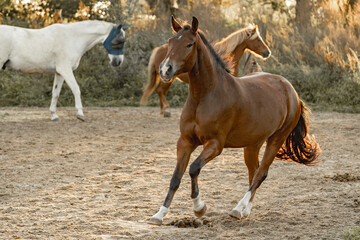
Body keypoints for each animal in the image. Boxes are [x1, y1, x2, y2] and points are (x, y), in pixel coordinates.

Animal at [0, 20, 128, 121]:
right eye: (119, 41)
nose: (118, 62)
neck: (72, 39)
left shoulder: (59, 72)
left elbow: (56, 93)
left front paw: (54, 116)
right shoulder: (65, 70)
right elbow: (76, 89)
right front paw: (80, 114)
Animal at [140, 22, 270, 117]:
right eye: (258, 39)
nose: (267, 52)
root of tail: (158, 49)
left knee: (160, 91)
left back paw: (163, 111)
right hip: (167, 78)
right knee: (160, 90)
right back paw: (166, 111)